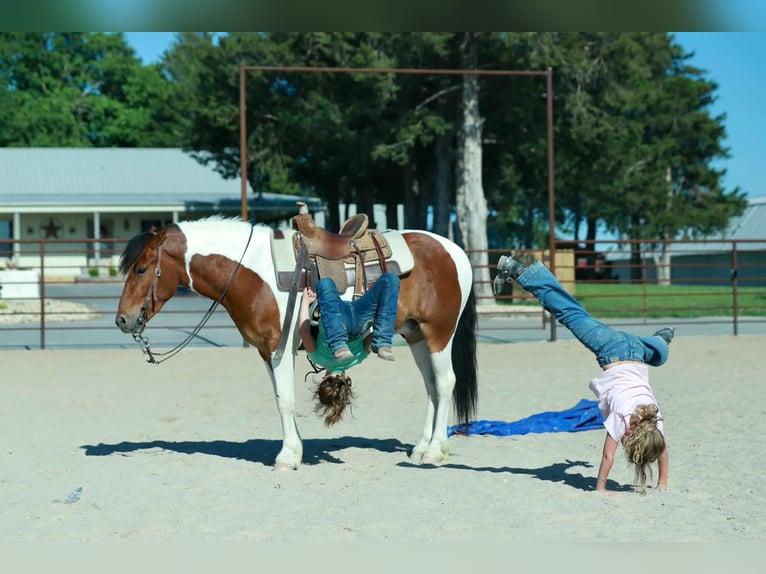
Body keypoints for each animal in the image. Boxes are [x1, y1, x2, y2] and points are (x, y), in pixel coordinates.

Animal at [114, 215, 478, 471]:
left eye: (142, 269)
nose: (122, 320)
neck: (253, 271)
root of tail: (455, 250)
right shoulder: (266, 351)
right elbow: (279, 399)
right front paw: (295, 448)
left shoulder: (280, 347)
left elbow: (286, 400)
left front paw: (287, 457)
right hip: (416, 336)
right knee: (431, 387)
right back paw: (422, 446)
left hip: (439, 334)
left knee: (445, 383)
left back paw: (434, 452)